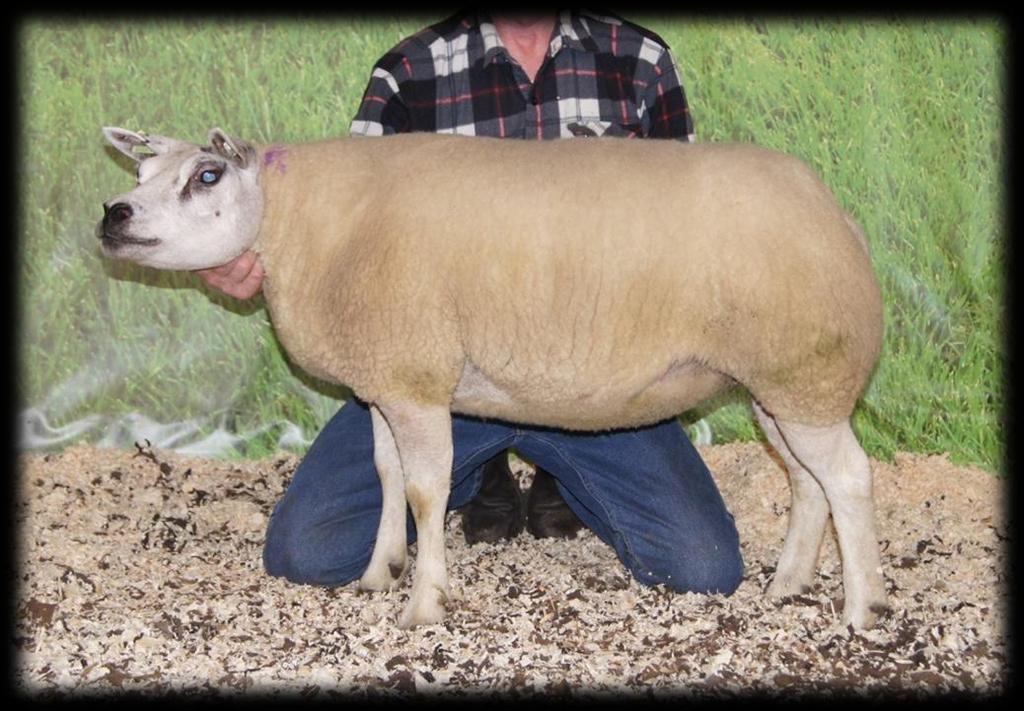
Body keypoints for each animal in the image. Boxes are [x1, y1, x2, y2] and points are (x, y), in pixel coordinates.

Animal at [99, 128, 892, 631]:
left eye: (206, 176)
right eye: (138, 177)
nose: (113, 215)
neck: (301, 227)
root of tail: (838, 214)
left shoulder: (417, 376)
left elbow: (425, 491)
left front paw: (424, 605)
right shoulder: (387, 378)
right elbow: (387, 474)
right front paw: (380, 571)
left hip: (807, 371)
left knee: (849, 478)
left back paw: (860, 611)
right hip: (778, 386)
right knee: (806, 481)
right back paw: (787, 585)